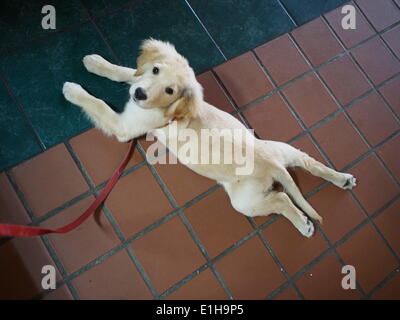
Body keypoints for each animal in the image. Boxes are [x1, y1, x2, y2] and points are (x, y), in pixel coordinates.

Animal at [62, 38, 356, 236]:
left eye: (170, 91)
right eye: (155, 70)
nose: (139, 95)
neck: (168, 109)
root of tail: (274, 165)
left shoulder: (124, 126)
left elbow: (99, 104)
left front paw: (73, 90)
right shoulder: (137, 82)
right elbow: (126, 72)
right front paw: (96, 63)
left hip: (245, 201)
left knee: (282, 199)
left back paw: (303, 223)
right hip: (284, 150)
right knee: (310, 164)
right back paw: (342, 179)